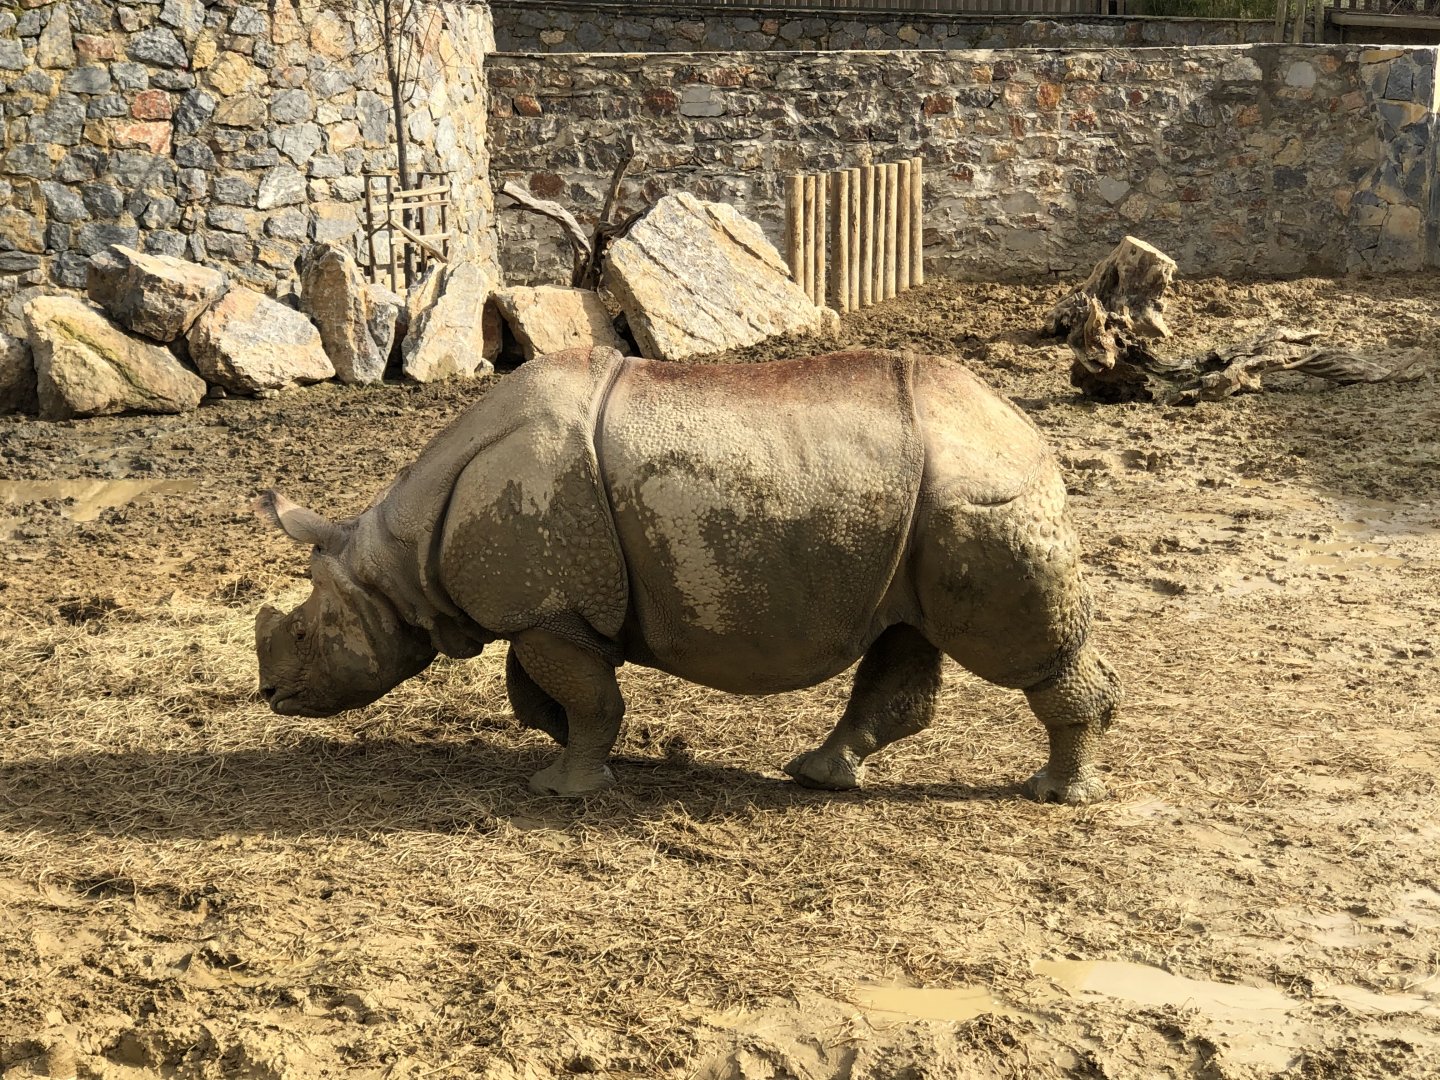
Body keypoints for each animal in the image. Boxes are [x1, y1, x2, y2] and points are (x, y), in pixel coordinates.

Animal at [254, 347, 1120, 803]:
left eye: (306, 631)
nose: (268, 695)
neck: (393, 561)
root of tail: (1019, 422)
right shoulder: (552, 610)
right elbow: (545, 696)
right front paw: (591, 760)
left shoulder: (547, 613)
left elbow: (584, 696)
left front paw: (564, 791)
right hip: (921, 516)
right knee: (905, 633)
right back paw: (819, 776)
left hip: (976, 496)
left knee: (1023, 652)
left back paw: (1053, 794)